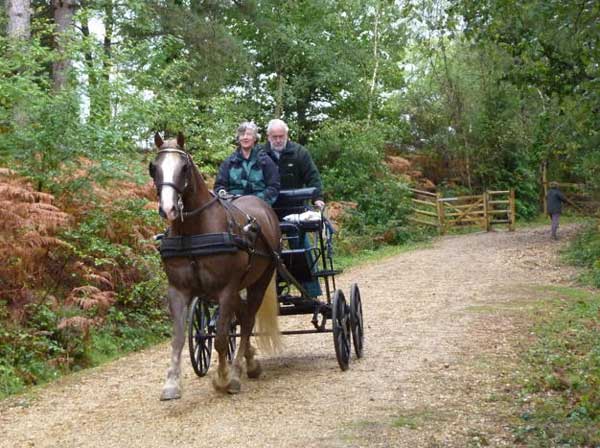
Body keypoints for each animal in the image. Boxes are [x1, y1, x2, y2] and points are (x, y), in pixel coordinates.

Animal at [149, 133, 282, 400]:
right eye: (154, 168)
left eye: (184, 167)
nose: (168, 208)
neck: (194, 232)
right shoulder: (178, 290)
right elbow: (178, 337)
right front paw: (171, 384)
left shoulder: (226, 289)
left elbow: (221, 337)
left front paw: (223, 378)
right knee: (242, 315)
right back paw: (250, 363)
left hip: (259, 281)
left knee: (247, 321)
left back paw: (237, 371)